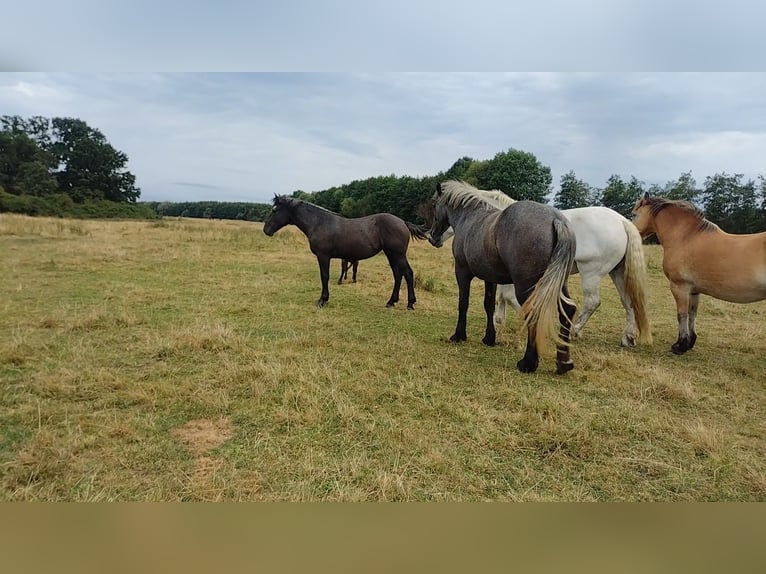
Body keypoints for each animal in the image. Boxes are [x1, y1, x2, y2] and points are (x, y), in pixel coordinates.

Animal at [266, 197, 432, 310]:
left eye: (274, 210)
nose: (266, 230)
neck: (319, 222)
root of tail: (403, 222)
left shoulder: (323, 256)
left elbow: (324, 276)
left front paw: (322, 300)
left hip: (398, 254)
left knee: (408, 274)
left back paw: (410, 304)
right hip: (391, 255)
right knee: (398, 275)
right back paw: (391, 301)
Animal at [428, 182, 580, 376]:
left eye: (434, 205)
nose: (432, 237)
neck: (470, 216)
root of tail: (555, 219)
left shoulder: (462, 272)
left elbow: (463, 303)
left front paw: (459, 335)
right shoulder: (490, 278)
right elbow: (489, 305)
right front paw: (489, 338)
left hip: (526, 287)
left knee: (534, 313)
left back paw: (528, 363)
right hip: (558, 284)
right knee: (567, 310)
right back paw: (563, 362)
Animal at [438, 182, 656, 348]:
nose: (436, 238)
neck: (493, 223)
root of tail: (621, 221)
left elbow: (508, 296)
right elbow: (501, 296)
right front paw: (499, 319)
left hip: (591, 273)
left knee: (593, 302)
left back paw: (574, 331)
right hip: (617, 272)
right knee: (628, 302)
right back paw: (628, 338)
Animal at [632, 194, 766, 356]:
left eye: (634, 214)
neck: (686, 237)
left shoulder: (680, 287)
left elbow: (682, 315)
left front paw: (679, 345)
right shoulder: (694, 291)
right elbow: (692, 314)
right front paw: (690, 342)